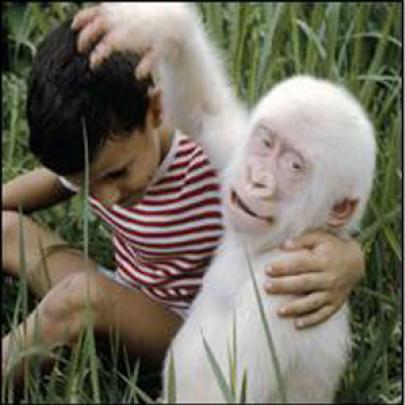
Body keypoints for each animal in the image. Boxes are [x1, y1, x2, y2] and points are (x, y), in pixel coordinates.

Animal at [71, 2, 374, 400]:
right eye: (265, 143)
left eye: (294, 166)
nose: (258, 180)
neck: (265, 248)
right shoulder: (234, 152)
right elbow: (205, 112)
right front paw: (153, 24)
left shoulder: (283, 295)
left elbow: (223, 391)